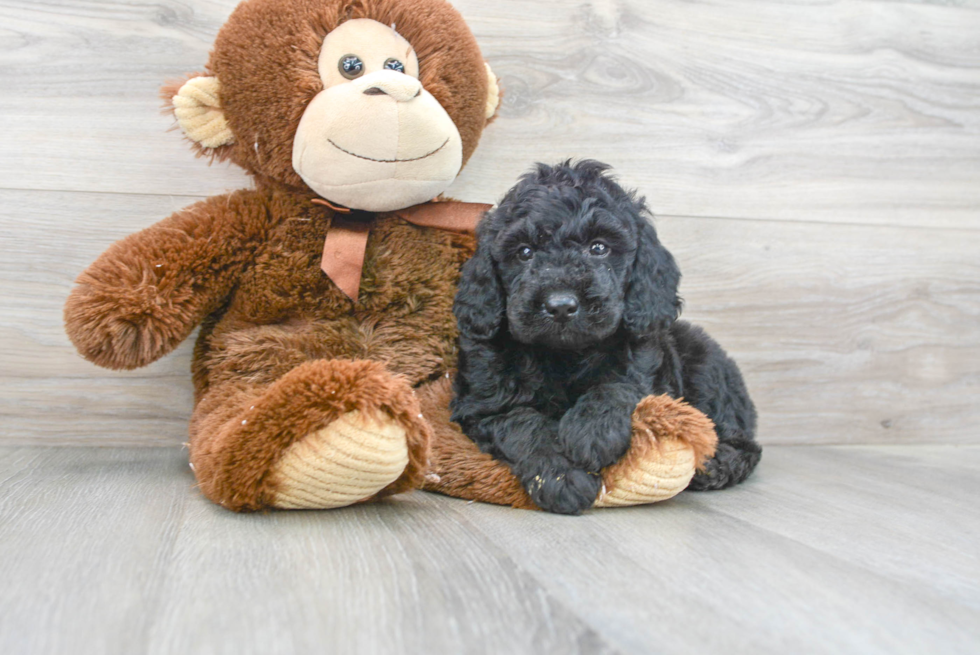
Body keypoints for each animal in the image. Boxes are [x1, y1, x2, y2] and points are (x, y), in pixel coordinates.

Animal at [448, 161, 760, 516]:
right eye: (524, 252)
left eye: (599, 247)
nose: (560, 305)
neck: (565, 354)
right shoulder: (482, 405)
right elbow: (522, 423)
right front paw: (562, 478)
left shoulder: (644, 365)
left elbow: (617, 386)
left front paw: (591, 432)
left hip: (705, 364)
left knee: (746, 442)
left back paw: (718, 465)